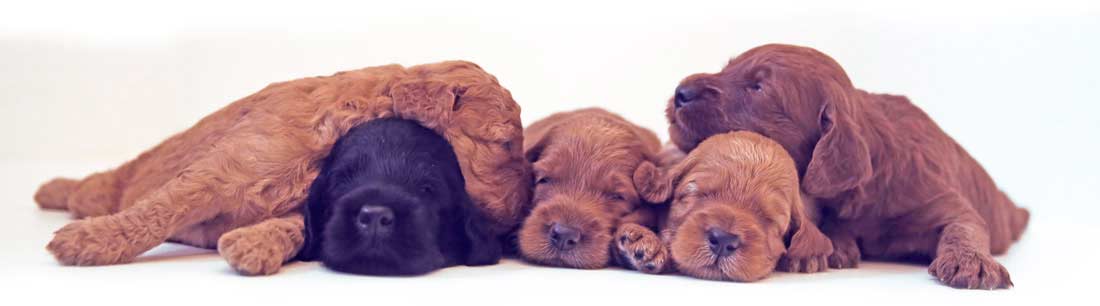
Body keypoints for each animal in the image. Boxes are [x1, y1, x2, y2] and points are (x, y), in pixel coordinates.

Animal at [664, 43, 1034, 288]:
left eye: (757, 87)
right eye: (727, 68)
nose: (680, 91)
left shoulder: (942, 199)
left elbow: (965, 225)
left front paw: (972, 262)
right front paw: (837, 244)